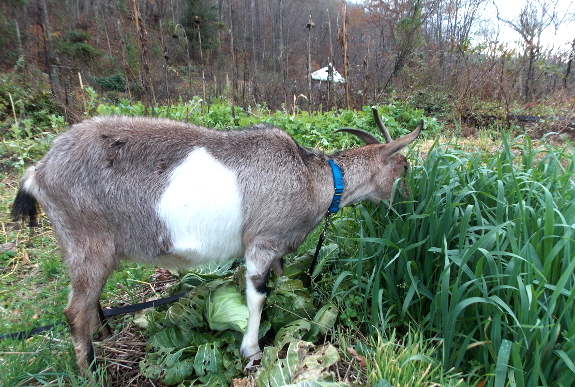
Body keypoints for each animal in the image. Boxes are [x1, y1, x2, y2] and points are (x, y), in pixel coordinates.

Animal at [10, 109, 424, 372]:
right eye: (404, 167)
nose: (410, 208)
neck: (311, 178)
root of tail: (38, 172)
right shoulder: (260, 242)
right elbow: (257, 296)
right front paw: (251, 350)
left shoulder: (276, 247)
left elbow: (281, 281)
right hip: (87, 241)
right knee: (74, 312)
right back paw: (91, 372)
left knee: (88, 303)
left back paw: (105, 335)